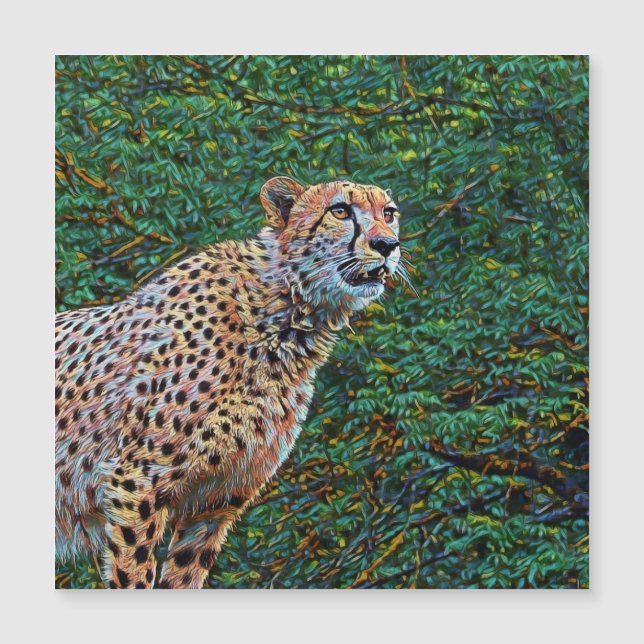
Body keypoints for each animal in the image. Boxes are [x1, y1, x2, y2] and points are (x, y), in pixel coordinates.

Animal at [55, 176, 403, 588]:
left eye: (389, 214)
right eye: (340, 211)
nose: (386, 245)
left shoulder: (217, 499)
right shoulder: (136, 482)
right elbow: (135, 572)